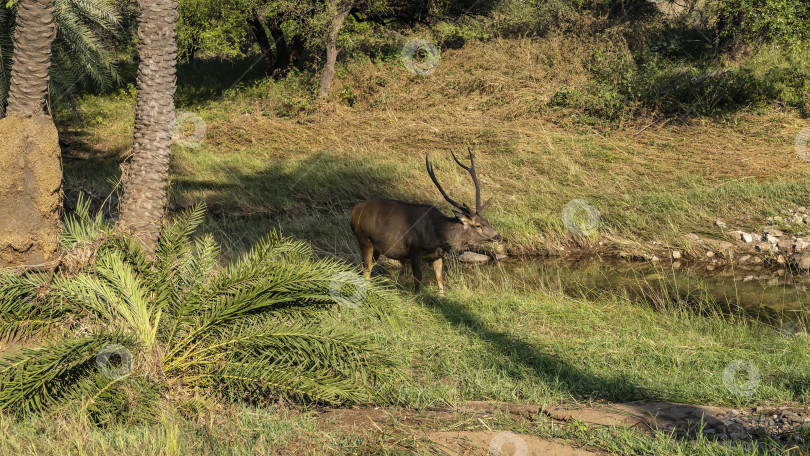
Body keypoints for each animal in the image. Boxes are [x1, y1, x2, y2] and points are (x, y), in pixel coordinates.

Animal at [348, 146, 498, 296]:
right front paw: (417, 297)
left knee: (365, 266)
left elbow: (440, 278)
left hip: (375, 247)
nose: (498, 236)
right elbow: (418, 277)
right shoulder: (415, 249)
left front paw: (441, 296)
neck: (439, 236)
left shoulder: (438, 254)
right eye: (477, 225)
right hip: (364, 239)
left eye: (487, 221)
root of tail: (353, 212)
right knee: (366, 268)